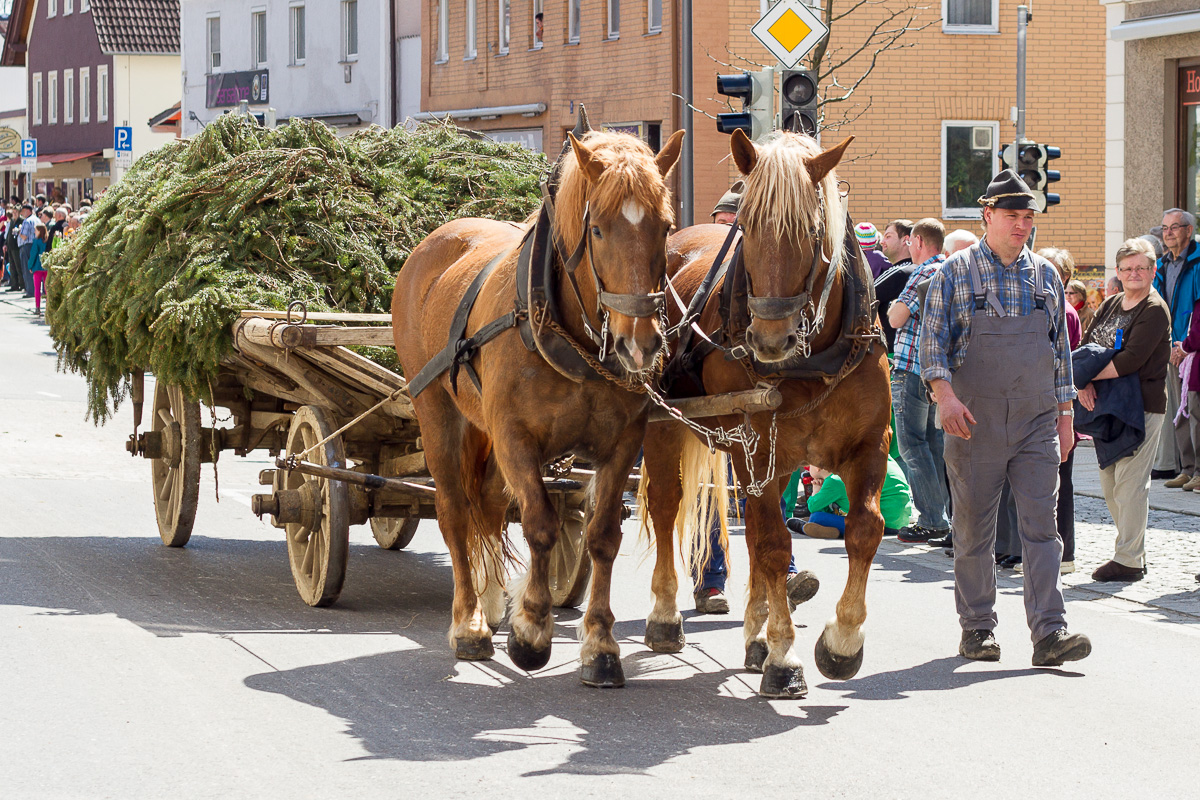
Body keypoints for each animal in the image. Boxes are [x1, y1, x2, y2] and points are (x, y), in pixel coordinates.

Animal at [396, 125, 686, 690]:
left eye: (665, 228)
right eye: (597, 230)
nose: (640, 344)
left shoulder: (623, 443)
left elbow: (602, 535)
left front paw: (600, 645)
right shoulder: (515, 437)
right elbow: (541, 525)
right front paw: (531, 630)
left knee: (487, 506)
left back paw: (489, 601)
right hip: (437, 411)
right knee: (455, 512)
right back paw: (469, 622)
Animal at [638, 128, 892, 695]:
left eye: (814, 231)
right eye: (748, 227)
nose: (769, 340)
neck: (811, 362)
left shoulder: (869, 446)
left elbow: (865, 529)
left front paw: (842, 642)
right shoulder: (756, 453)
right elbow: (774, 544)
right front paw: (783, 656)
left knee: (751, 529)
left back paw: (753, 633)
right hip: (670, 426)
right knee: (668, 506)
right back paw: (666, 617)